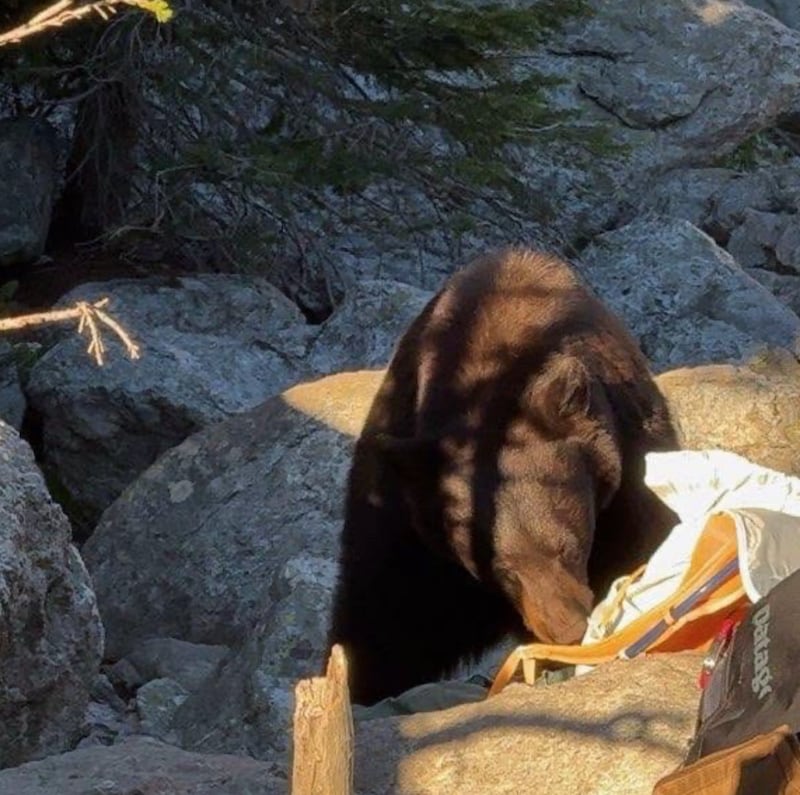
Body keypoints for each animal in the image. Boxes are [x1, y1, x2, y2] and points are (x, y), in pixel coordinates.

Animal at [328, 247, 679, 706]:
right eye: (504, 570)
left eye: (568, 547)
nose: (565, 630)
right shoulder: (409, 513)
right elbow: (387, 609)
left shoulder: (629, 462)